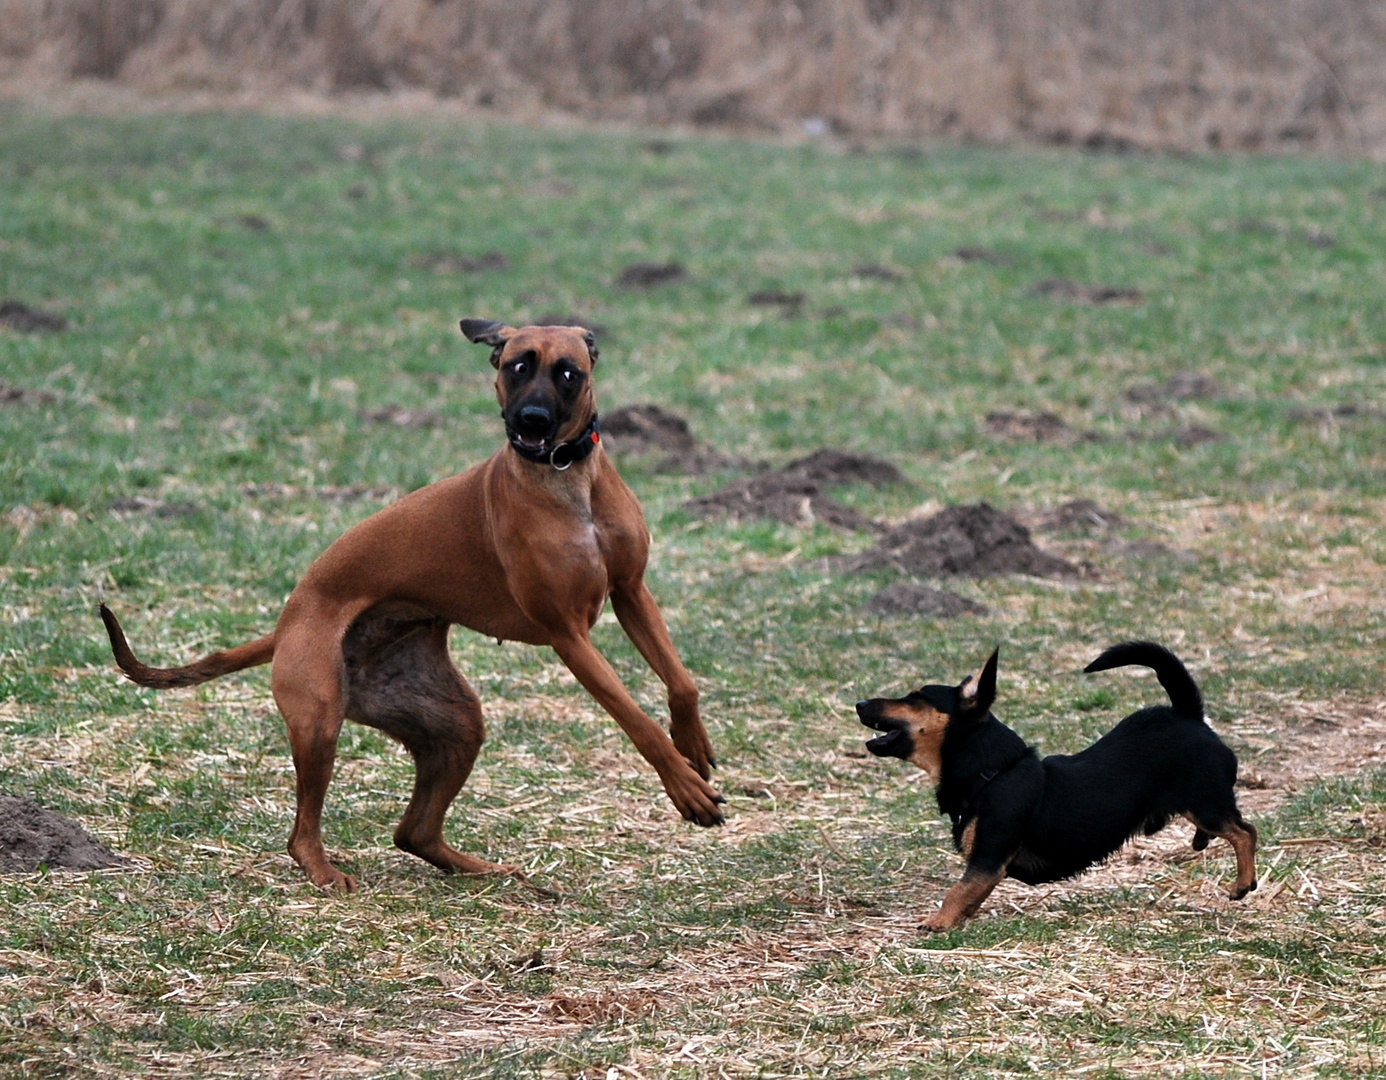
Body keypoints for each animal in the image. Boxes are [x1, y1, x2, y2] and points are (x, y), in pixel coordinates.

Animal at [102, 321, 720, 892]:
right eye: (516, 366)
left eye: (567, 372)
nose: (531, 421)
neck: (568, 481)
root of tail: (286, 622)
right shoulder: (568, 635)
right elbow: (637, 720)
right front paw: (685, 787)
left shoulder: (631, 593)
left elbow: (682, 683)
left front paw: (693, 742)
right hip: (319, 720)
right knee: (302, 832)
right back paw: (326, 873)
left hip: (452, 725)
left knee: (413, 832)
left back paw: (484, 871)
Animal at [853, 643, 1258, 931]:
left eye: (915, 697)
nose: (859, 702)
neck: (992, 774)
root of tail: (1190, 715)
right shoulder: (986, 866)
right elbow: (969, 894)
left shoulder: (988, 858)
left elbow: (957, 890)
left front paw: (936, 923)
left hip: (1205, 802)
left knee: (1245, 831)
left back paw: (1243, 883)